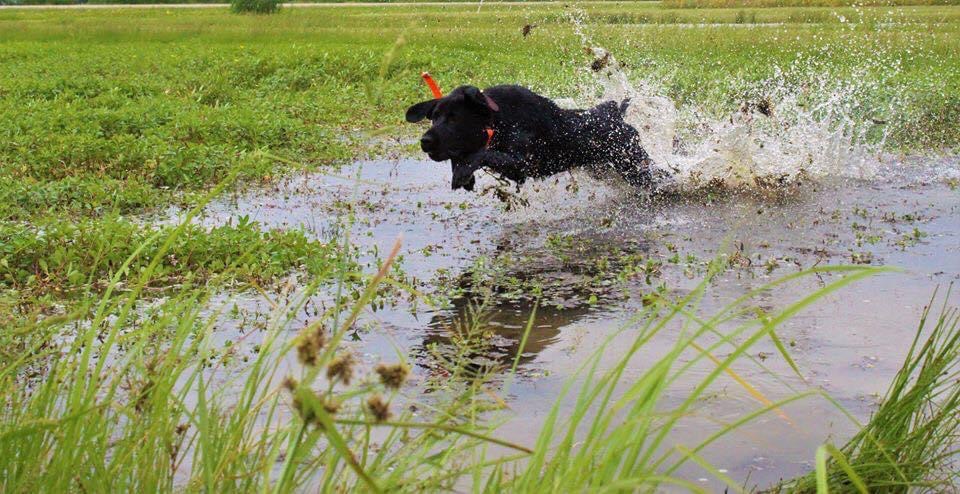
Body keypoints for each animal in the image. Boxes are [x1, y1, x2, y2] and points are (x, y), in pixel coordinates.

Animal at [404, 85, 652, 191]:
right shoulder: (517, 172)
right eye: (434, 117)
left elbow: (484, 153)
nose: (425, 141)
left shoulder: (526, 164)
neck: (499, 120)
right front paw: (463, 174)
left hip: (635, 167)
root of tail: (619, 115)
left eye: (454, 118)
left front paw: (463, 172)